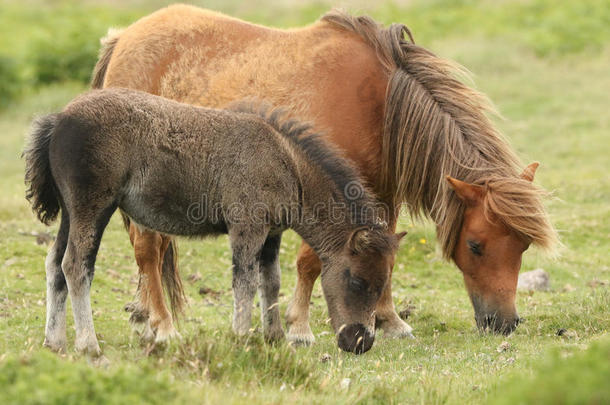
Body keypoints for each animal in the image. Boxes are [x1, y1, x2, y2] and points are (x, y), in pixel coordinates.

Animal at [25, 88, 404, 354]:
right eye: (357, 281)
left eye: (383, 282)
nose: (360, 341)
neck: (287, 164)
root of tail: (59, 119)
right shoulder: (247, 227)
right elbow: (244, 283)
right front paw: (241, 337)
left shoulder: (272, 234)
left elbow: (271, 282)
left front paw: (275, 337)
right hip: (92, 207)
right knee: (76, 265)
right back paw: (88, 344)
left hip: (70, 213)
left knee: (54, 264)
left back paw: (54, 342)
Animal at [91, 6, 556, 340]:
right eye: (476, 245)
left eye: (523, 245)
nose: (504, 323)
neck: (377, 104)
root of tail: (122, 38)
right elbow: (310, 262)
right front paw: (299, 327)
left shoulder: (382, 196)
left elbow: (386, 254)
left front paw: (389, 321)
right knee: (148, 251)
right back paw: (163, 327)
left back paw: (144, 315)